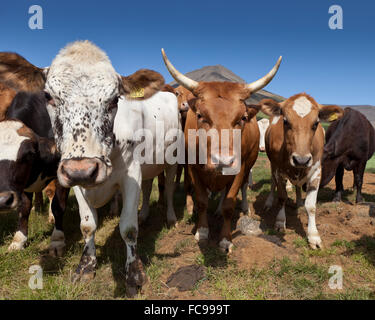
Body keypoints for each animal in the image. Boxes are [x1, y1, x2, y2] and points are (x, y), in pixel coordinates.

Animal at [43, 40, 180, 298]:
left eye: (114, 99)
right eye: (48, 96)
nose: (83, 170)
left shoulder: (131, 175)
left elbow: (129, 229)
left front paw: (134, 275)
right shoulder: (76, 180)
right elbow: (87, 226)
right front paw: (85, 267)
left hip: (173, 161)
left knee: (167, 190)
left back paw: (170, 218)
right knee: (149, 187)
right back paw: (145, 214)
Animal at [162, 48, 282, 252]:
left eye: (242, 118)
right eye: (200, 115)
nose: (223, 161)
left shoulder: (240, 168)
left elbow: (229, 203)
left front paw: (225, 239)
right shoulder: (193, 168)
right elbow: (202, 200)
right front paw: (202, 231)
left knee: (239, 189)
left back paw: (241, 208)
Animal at [258, 94, 344, 249]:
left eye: (316, 123)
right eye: (285, 121)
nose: (301, 160)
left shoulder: (316, 172)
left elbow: (311, 206)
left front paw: (313, 236)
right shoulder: (279, 171)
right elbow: (282, 197)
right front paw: (280, 222)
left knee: (298, 187)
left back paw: (298, 201)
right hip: (272, 165)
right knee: (273, 184)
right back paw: (269, 202)